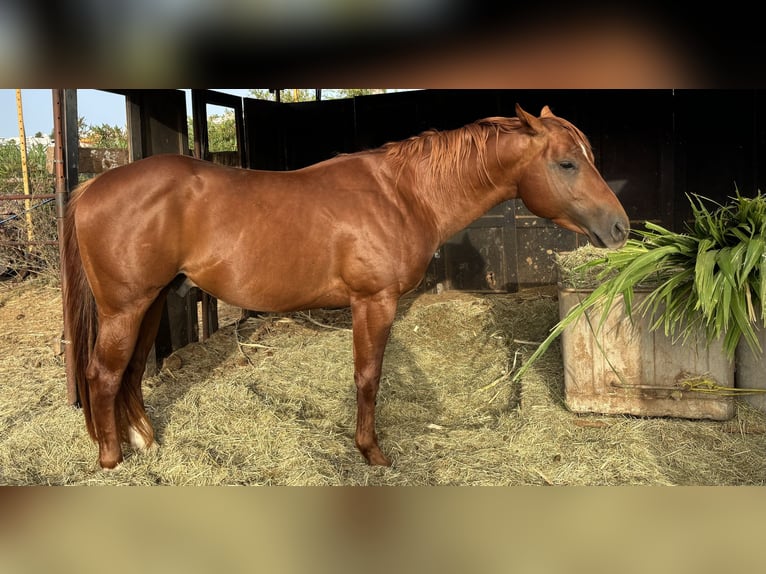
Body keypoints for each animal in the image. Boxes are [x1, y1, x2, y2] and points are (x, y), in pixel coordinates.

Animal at [64, 106, 632, 470]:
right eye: (567, 163)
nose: (621, 228)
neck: (403, 194)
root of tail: (91, 188)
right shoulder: (373, 303)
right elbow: (368, 377)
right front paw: (371, 452)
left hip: (151, 303)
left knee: (132, 372)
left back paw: (146, 442)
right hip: (124, 308)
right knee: (103, 374)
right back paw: (112, 459)